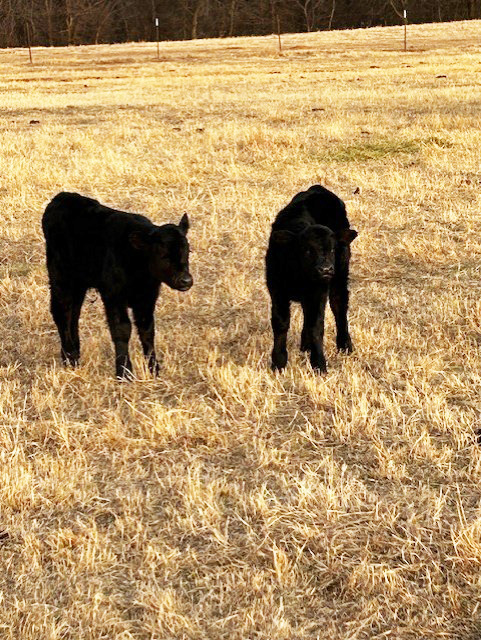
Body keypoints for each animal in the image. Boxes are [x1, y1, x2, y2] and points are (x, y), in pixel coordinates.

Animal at [42, 192, 193, 379]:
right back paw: (70, 358)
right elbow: (122, 329)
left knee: (74, 313)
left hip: (79, 283)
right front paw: (124, 372)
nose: (186, 280)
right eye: (163, 255)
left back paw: (75, 353)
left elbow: (147, 330)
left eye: (188, 251)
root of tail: (61, 197)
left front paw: (153, 369)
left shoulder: (147, 298)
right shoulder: (113, 296)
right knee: (61, 311)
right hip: (61, 277)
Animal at [265, 185, 358, 373]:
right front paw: (278, 362)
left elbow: (316, 325)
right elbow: (280, 322)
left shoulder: (318, 292)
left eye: (332, 249)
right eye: (307, 250)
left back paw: (344, 344)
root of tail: (318, 188)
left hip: (340, 274)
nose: (326, 269)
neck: (299, 275)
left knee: (339, 304)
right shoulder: (276, 289)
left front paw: (319, 364)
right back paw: (305, 345)